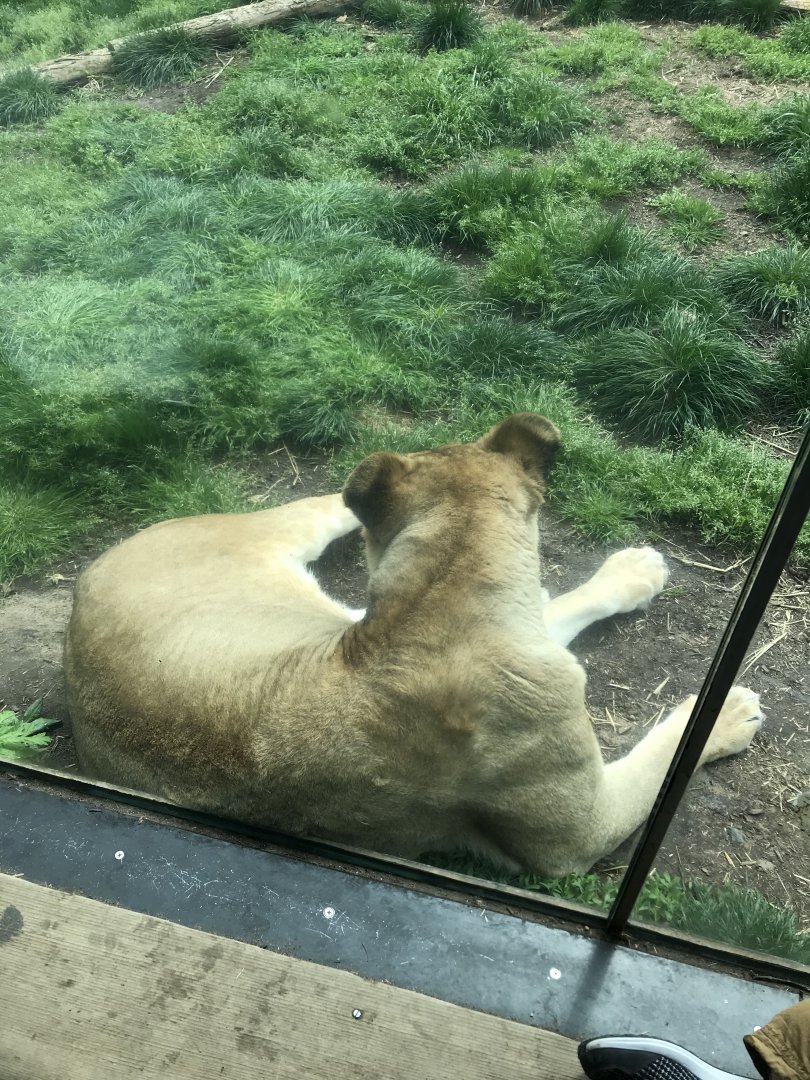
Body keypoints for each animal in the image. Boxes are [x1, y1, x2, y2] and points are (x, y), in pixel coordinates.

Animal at [64, 414, 762, 875]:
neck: (437, 599)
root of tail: (83, 584)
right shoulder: (574, 840)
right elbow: (662, 760)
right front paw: (725, 713)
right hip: (278, 537)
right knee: (323, 503)